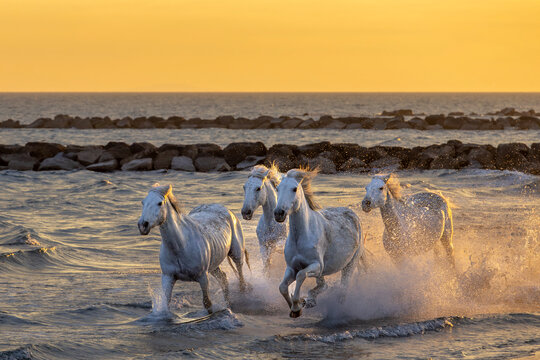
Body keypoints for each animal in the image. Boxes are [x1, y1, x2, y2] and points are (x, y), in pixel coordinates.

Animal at [138, 184, 250, 314]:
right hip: (213, 265)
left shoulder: (203, 277)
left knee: (240, 276)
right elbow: (166, 302)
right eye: (143, 202)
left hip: (236, 254)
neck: (181, 246)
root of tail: (226, 210)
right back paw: (228, 305)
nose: (142, 225)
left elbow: (207, 304)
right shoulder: (168, 277)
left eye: (159, 203)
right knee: (223, 278)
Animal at [272, 167, 364, 316]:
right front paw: (296, 309)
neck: (301, 237)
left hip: (350, 265)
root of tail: (352, 214)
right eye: (278, 188)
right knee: (323, 285)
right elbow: (282, 287)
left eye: (294, 189)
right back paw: (311, 300)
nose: (279, 213)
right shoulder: (291, 267)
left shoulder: (316, 266)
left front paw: (297, 306)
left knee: (343, 289)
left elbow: (301, 275)